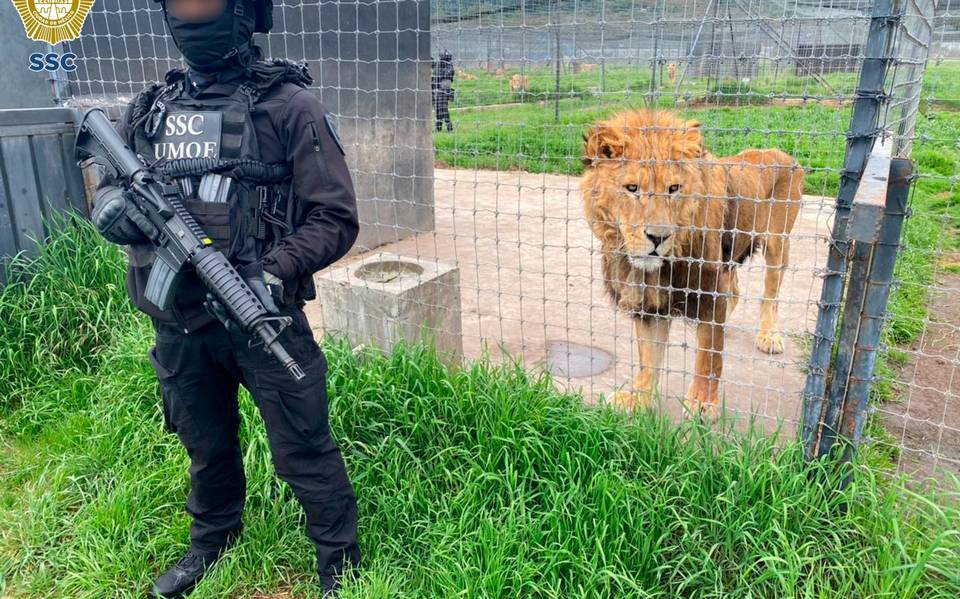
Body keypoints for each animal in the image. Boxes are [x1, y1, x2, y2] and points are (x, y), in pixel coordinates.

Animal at [580, 109, 808, 412]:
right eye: (632, 188)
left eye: (674, 188)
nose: (658, 237)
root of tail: (781, 153)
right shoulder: (650, 304)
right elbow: (648, 358)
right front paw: (639, 400)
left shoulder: (710, 289)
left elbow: (708, 355)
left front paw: (702, 403)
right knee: (735, 290)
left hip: (777, 245)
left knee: (769, 295)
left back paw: (768, 336)